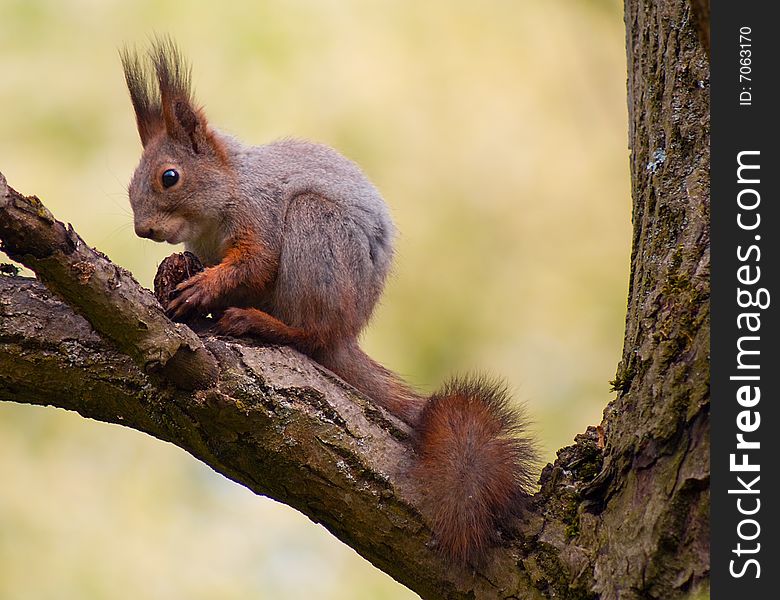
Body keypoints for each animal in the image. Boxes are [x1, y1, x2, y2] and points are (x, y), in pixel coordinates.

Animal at [122, 39, 540, 564]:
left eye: (170, 177)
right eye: (129, 184)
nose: (142, 230)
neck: (224, 197)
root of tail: (348, 329)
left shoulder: (261, 215)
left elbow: (256, 263)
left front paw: (203, 288)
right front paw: (183, 277)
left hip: (315, 229)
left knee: (312, 333)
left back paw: (262, 323)